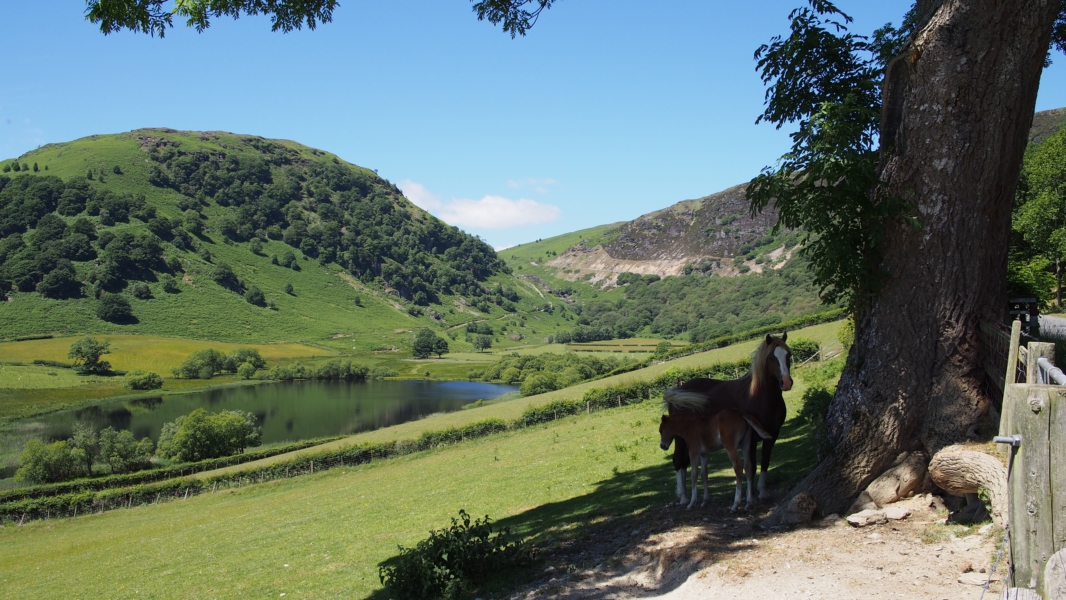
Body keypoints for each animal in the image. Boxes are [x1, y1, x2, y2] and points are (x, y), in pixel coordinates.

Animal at [665, 336, 793, 505]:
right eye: (771, 357)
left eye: (788, 355)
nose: (786, 382)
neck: (758, 396)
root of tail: (676, 392)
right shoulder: (751, 439)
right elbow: (751, 465)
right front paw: (751, 496)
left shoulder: (772, 435)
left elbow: (765, 461)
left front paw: (763, 492)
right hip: (680, 438)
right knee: (678, 461)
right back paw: (684, 497)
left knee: (684, 462)